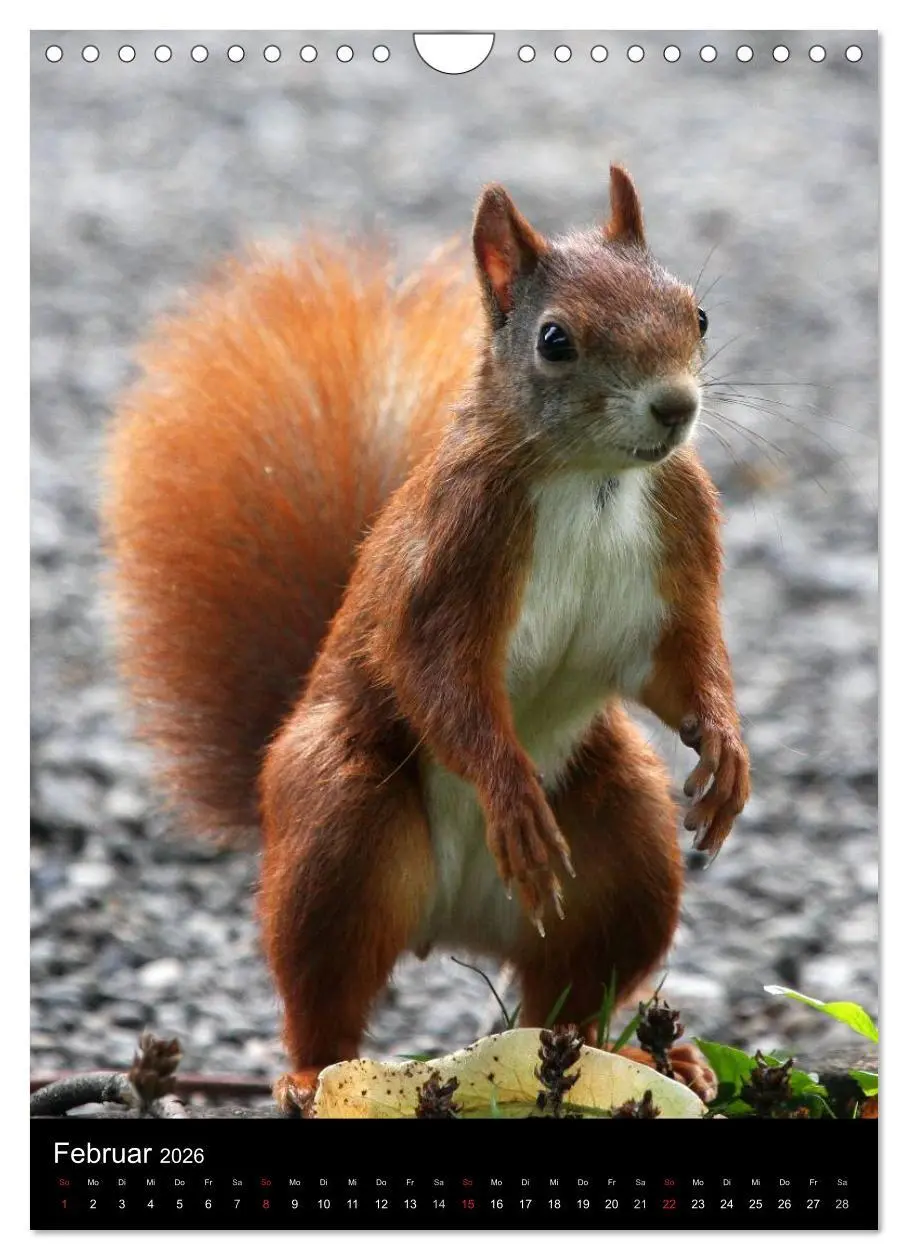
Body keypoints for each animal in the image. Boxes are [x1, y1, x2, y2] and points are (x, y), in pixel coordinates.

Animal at [104, 165, 750, 1111]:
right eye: (555, 340)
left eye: (696, 314)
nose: (676, 406)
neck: (590, 476)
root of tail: (456, 920)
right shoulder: (451, 556)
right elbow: (436, 675)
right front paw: (509, 792)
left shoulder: (682, 535)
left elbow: (685, 666)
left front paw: (728, 751)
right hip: (341, 827)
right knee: (326, 989)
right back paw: (311, 1075)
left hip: (625, 845)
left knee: (571, 995)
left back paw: (644, 1060)